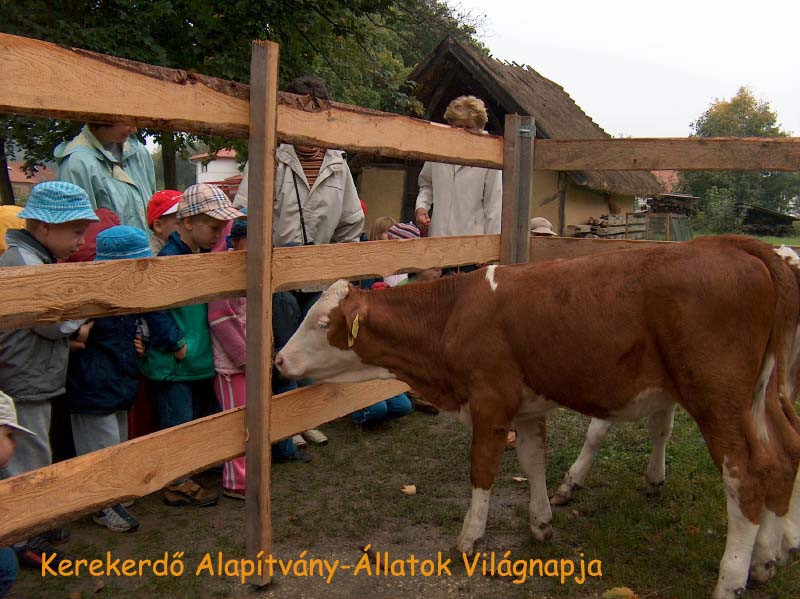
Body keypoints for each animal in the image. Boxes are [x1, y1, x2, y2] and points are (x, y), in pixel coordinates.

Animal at [276, 237, 800, 596]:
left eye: (321, 322)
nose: (278, 360)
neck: (454, 313)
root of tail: (730, 245)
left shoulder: (489, 403)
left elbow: (483, 471)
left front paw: (468, 541)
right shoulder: (525, 407)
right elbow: (532, 463)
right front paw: (541, 523)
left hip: (717, 398)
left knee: (746, 476)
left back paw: (731, 579)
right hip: (764, 396)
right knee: (784, 458)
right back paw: (767, 560)